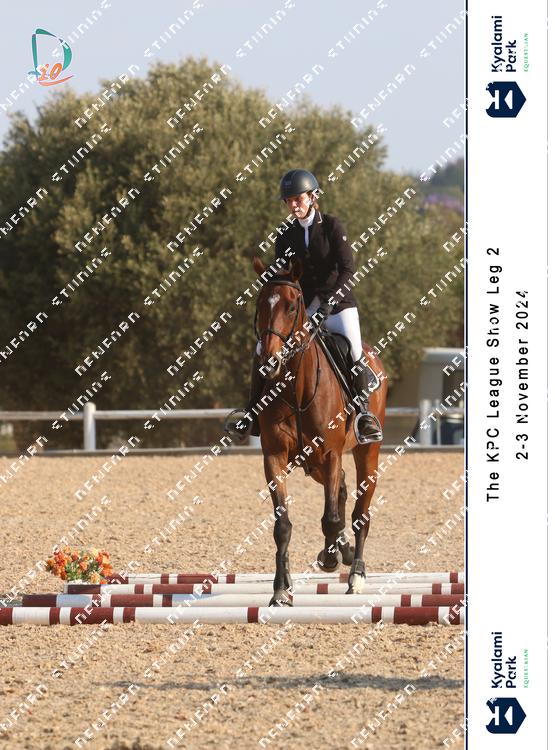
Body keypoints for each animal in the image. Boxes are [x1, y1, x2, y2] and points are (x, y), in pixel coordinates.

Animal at [251, 255, 388, 606]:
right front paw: (281, 590)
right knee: (340, 490)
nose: (269, 362)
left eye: (292, 306)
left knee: (359, 512)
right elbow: (282, 526)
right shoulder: (274, 458)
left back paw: (356, 574)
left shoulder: (330, 453)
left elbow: (331, 518)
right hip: (313, 465)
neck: (296, 387)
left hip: (365, 452)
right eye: (260, 303)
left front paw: (330, 559)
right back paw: (343, 552)